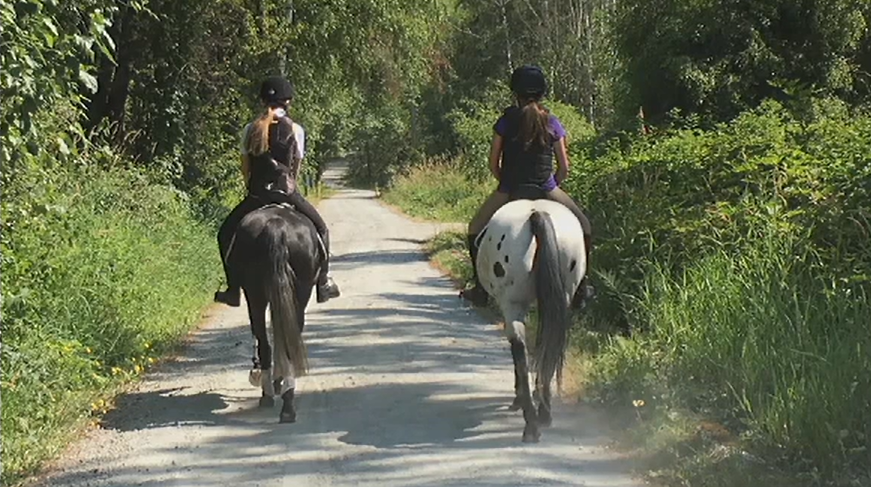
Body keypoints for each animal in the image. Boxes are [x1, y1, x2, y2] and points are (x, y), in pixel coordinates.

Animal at [227, 164, 326, 424]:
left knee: (266, 342)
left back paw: (273, 397)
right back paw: (284, 402)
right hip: (295, 293)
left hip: (257, 296)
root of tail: (277, 227)